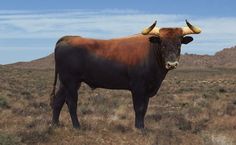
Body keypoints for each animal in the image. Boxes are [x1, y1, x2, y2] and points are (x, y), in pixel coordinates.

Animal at [49, 19, 201, 129]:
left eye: (179, 44)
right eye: (162, 44)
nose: (172, 64)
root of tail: (67, 38)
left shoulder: (147, 90)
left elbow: (144, 109)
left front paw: (142, 126)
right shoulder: (138, 87)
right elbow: (139, 108)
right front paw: (139, 128)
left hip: (65, 83)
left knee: (58, 101)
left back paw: (55, 125)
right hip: (71, 82)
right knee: (71, 102)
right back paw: (77, 126)